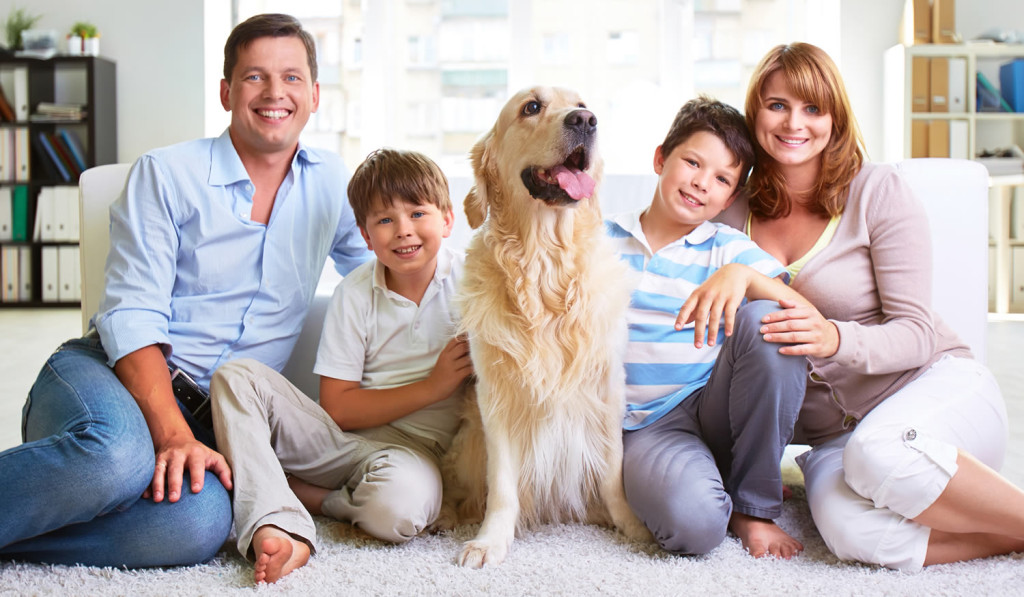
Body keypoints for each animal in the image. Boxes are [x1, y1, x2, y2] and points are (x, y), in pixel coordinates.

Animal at [438, 86, 647, 569]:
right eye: (531, 107)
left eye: (583, 103)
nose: (586, 121)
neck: (545, 269)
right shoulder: (494, 398)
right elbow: (502, 487)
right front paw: (491, 541)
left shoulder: (607, 388)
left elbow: (613, 472)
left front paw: (632, 525)